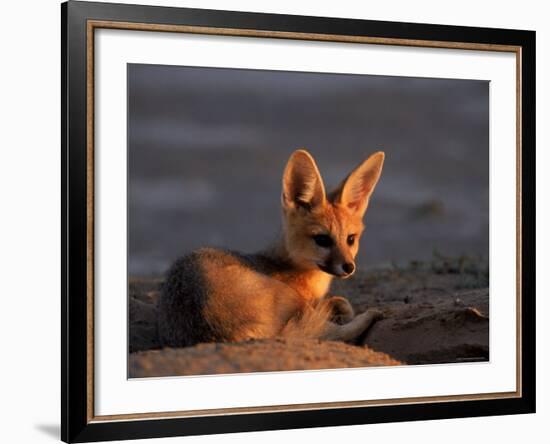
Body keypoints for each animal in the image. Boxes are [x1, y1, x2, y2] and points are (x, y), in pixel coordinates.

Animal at [157, 149, 386, 346]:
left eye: (350, 239)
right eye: (322, 239)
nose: (349, 267)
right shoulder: (303, 305)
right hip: (290, 299)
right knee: (332, 334)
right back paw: (369, 315)